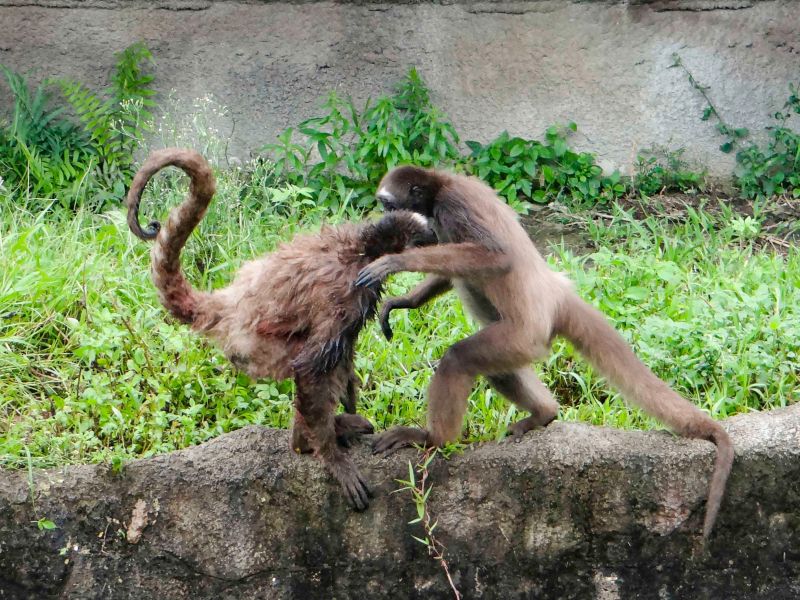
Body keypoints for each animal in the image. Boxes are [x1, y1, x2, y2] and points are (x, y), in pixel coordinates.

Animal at [126, 148, 438, 508]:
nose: (437, 243)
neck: (361, 245)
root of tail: (228, 305)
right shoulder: (347, 291)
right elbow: (311, 366)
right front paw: (332, 457)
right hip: (253, 347)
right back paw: (304, 441)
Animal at [360, 165, 736, 544]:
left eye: (388, 204)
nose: (382, 216)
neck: (442, 184)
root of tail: (554, 295)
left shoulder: (454, 204)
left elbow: (497, 257)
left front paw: (397, 260)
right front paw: (403, 301)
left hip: (524, 337)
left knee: (458, 357)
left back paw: (433, 439)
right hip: (516, 341)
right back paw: (544, 413)